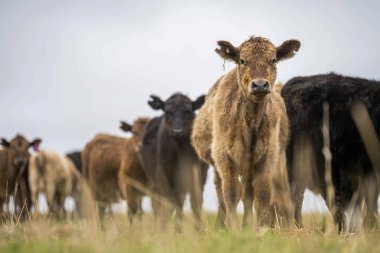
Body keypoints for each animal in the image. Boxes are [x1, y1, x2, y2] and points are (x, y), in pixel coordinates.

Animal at [139, 93, 208, 229]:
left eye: (188, 111)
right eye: (168, 112)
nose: (178, 131)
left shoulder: (199, 176)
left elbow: (196, 204)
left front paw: (199, 229)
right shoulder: (163, 175)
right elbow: (169, 203)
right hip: (154, 183)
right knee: (159, 205)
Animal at [191, 36, 302, 228]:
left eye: (273, 60)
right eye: (242, 60)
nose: (260, 84)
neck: (250, 125)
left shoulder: (267, 157)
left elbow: (262, 193)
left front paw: (260, 228)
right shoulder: (224, 157)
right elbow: (230, 193)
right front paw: (234, 228)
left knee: (248, 194)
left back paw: (246, 224)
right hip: (217, 164)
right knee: (221, 194)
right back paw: (221, 225)